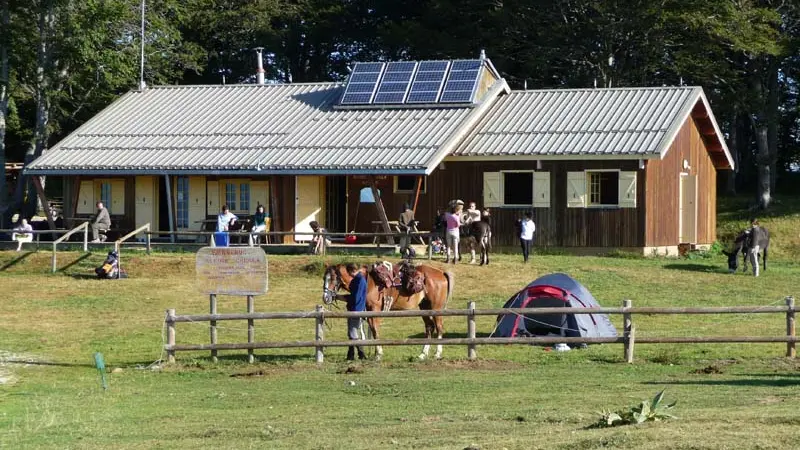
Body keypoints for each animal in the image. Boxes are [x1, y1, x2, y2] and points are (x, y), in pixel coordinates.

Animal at [322, 262, 454, 360]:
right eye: (324, 278)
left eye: (333, 278)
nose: (326, 297)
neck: (369, 282)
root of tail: (441, 272)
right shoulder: (368, 310)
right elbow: (371, 329)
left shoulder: (375, 309)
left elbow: (375, 330)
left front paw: (378, 354)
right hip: (424, 307)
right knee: (429, 327)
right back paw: (423, 354)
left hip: (436, 309)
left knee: (439, 328)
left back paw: (437, 353)